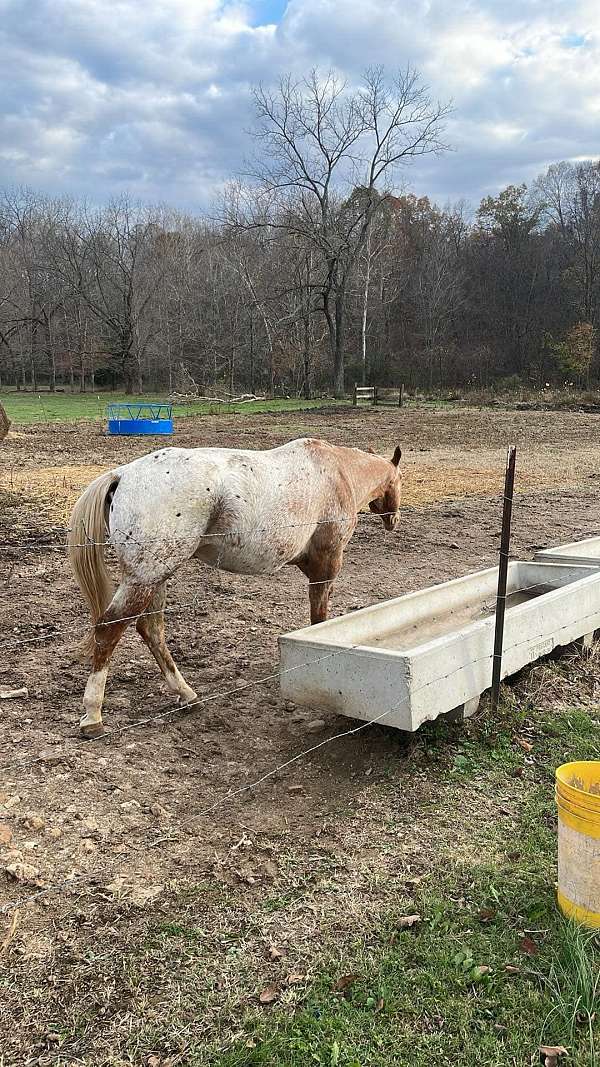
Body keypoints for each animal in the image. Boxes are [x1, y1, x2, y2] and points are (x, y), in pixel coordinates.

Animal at [67, 437, 399, 738]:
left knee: (152, 631)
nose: (392, 520)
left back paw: (187, 695)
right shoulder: (326, 567)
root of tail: (122, 474)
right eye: (398, 480)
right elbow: (319, 619)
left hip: (155, 579)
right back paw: (93, 716)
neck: (336, 472)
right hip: (144, 579)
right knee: (109, 629)